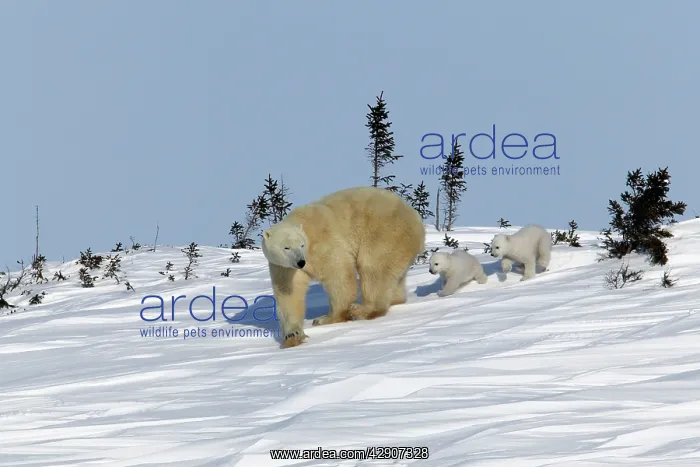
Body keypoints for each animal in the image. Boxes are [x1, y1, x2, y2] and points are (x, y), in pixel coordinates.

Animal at [261, 186, 426, 349]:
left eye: (301, 245)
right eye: (286, 247)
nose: (301, 262)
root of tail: (417, 220)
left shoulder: (322, 243)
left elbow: (338, 273)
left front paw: (327, 318)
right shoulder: (283, 267)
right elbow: (289, 292)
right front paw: (292, 336)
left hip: (385, 232)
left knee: (373, 267)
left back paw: (361, 310)